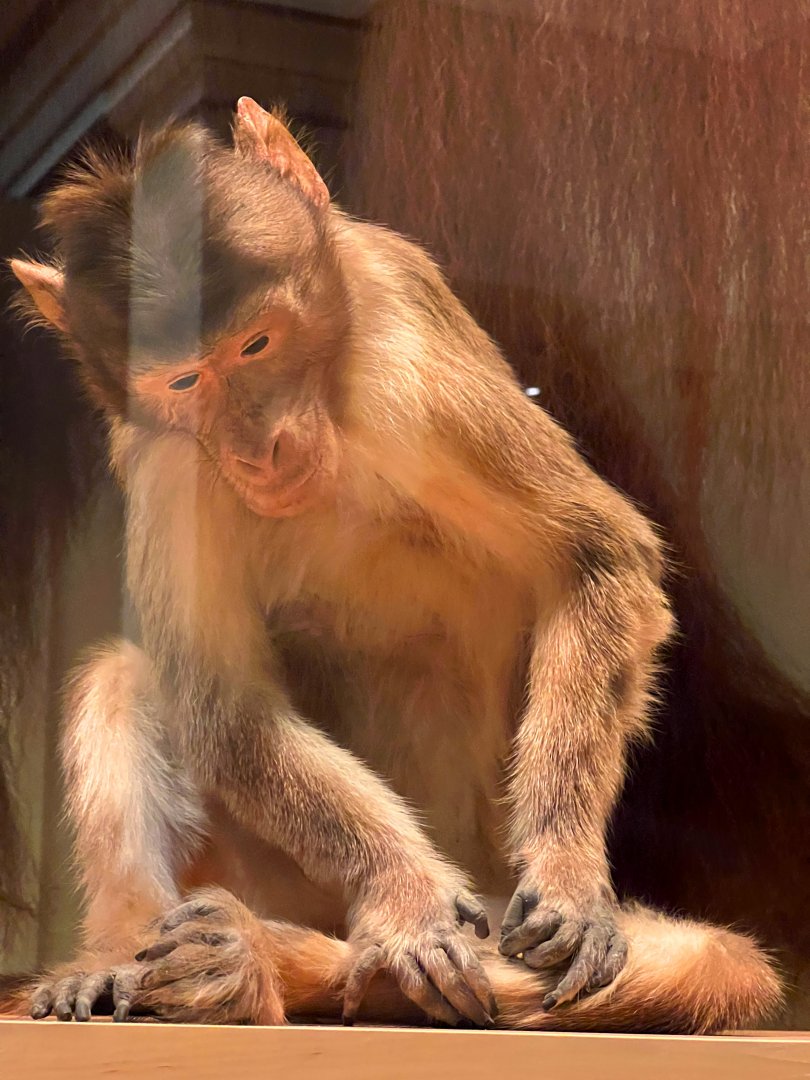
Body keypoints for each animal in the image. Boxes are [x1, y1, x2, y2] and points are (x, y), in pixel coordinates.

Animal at [3, 97, 780, 1032]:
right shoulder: (171, 460)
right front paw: (404, 897)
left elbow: (597, 559)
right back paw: (152, 958)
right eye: (187, 381)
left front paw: (564, 872)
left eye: (257, 345)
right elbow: (226, 711)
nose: (259, 450)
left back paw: (254, 961)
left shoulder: (407, 361)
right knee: (127, 677)